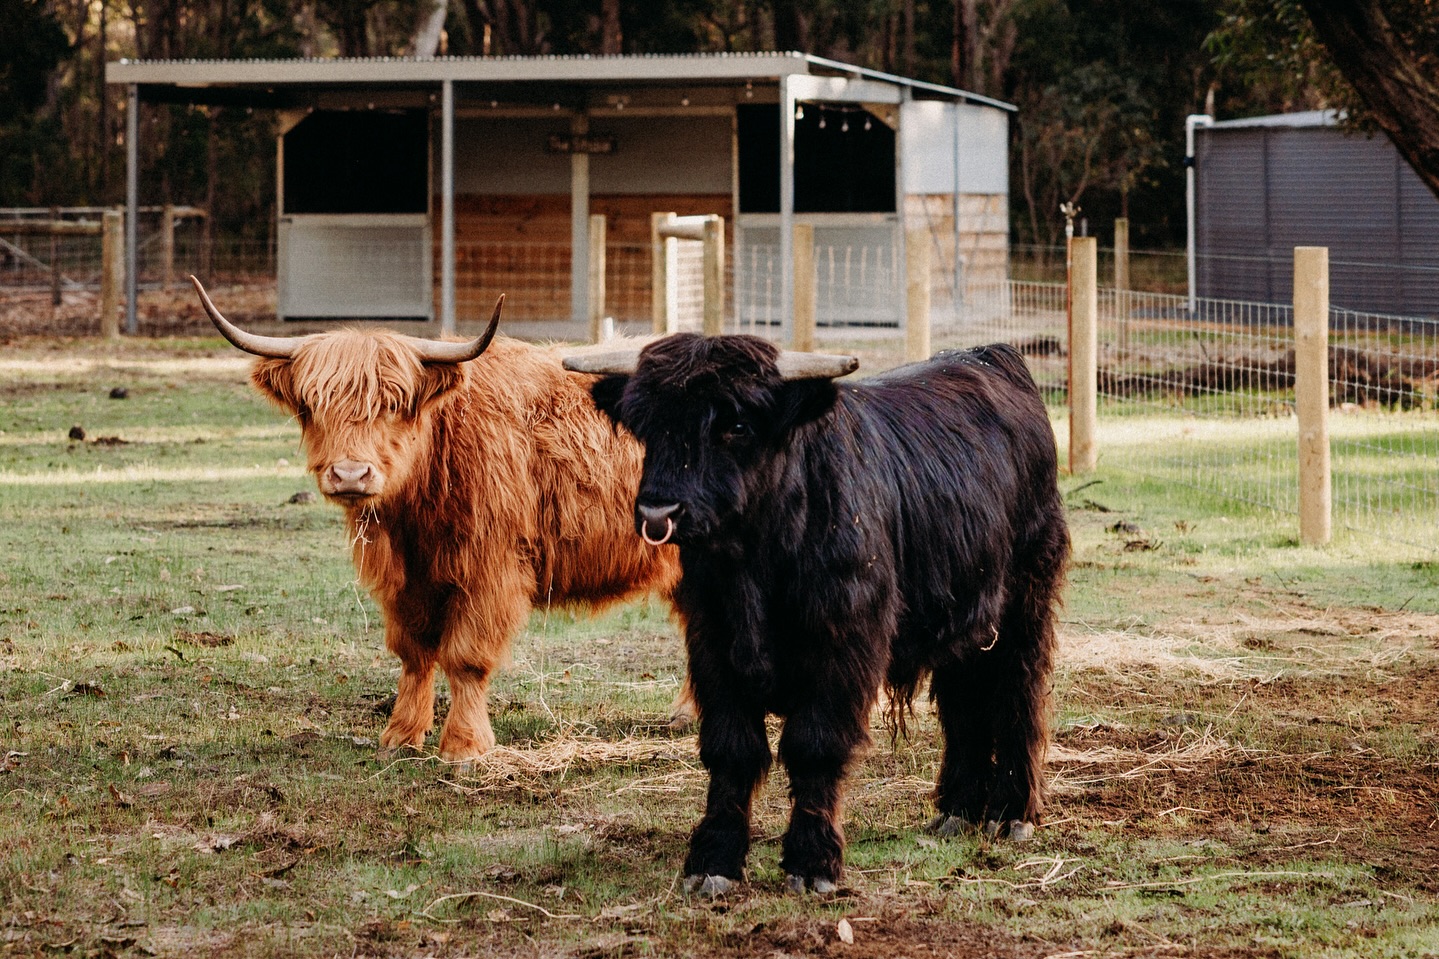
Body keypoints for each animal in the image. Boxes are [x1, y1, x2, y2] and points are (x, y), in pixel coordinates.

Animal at [191, 277, 685, 763]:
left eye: (393, 403)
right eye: (313, 404)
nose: (350, 474)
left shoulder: (491, 569)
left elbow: (465, 656)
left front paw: (464, 746)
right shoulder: (407, 578)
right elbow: (413, 651)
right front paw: (400, 735)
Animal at [564, 333, 1068, 895]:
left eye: (737, 425)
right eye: (648, 425)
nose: (658, 512)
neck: (754, 564)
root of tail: (990, 356)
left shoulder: (843, 648)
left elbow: (814, 746)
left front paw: (812, 864)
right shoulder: (713, 645)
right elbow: (731, 749)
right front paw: (713, 861)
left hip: (1024, 604)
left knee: (1019, 693)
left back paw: (1012, 813)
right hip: (963, 617)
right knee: (964, 699)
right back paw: (958, 811)